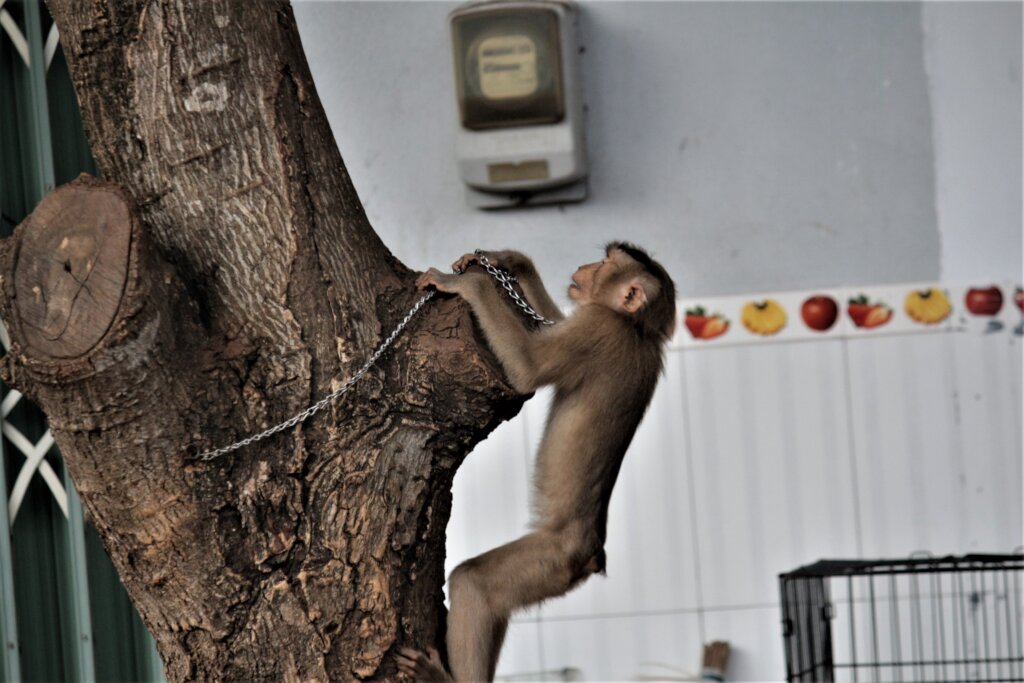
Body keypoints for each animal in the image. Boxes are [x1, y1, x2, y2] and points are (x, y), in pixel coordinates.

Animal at [397, 243, 677, 682]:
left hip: (551, 560)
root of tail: (592, 554)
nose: (584, 267)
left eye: (606, 264)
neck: (637, 329)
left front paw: (468, 284)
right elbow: (551, 327)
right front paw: (510, 260)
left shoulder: (600, 325)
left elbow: (530, 367)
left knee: (473, 584)